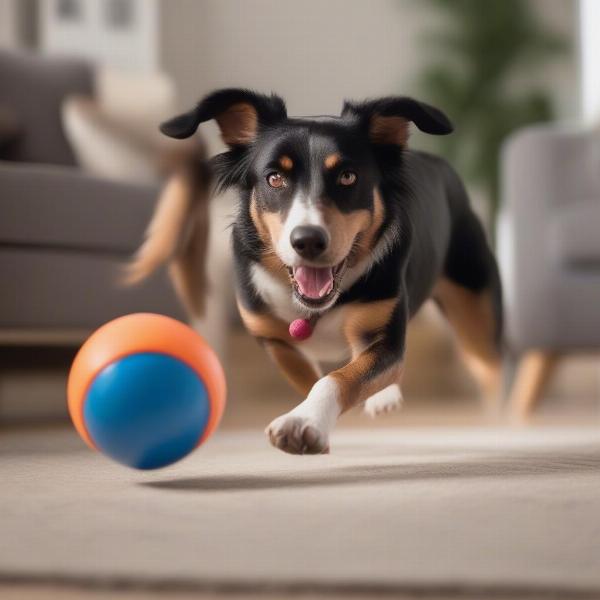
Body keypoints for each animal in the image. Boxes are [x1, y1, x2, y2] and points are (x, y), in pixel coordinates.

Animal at [130, 88, 502, 454]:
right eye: (275, 178)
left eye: (348, 177)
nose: (307, 240)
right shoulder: (269, 335)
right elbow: (309, 375)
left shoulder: (384, 337)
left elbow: (338, 377)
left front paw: (302, 423)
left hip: (477, 313)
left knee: (491, 367)